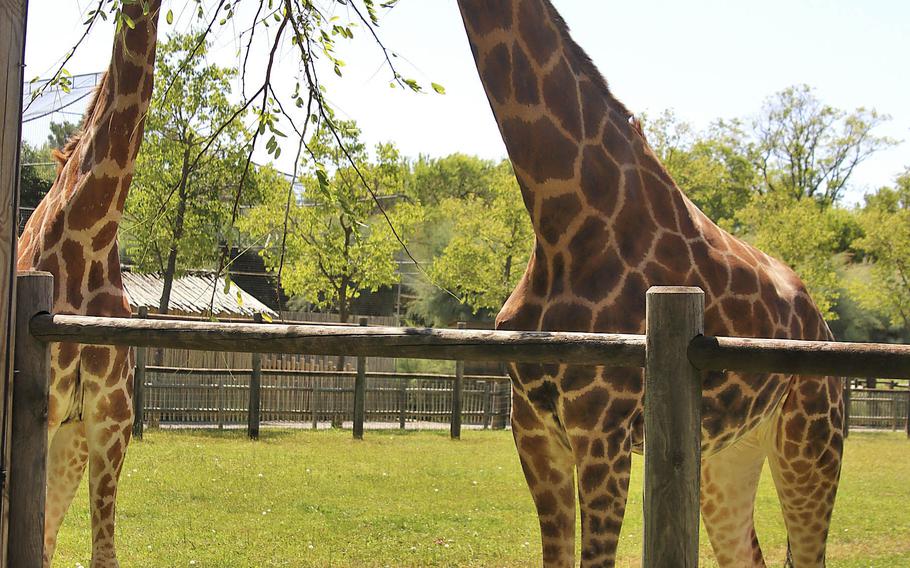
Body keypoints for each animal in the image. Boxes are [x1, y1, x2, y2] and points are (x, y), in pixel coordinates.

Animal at [456, 2, 848, 564]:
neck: (559, 221)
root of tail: (823, 324)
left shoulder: (602, 431)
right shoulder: (532, 426)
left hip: (812, 443)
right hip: (729, 454)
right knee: (746, 552)